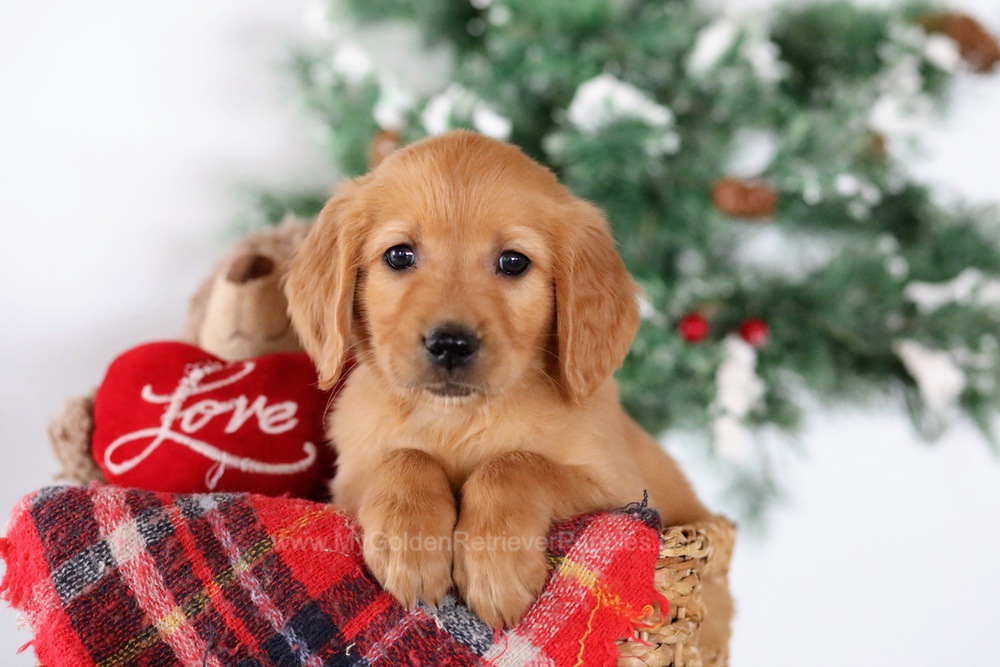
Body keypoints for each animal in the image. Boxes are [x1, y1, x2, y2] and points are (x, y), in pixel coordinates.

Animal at [286, 129, 732, 648]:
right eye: (399, 255)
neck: (457, 419)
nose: (451, 344)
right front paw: (408, 545)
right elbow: (405, 456)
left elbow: (513, 465)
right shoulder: (346, 486)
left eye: (514, 262)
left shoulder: (621, 493)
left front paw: (495, 568)